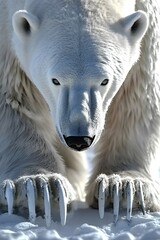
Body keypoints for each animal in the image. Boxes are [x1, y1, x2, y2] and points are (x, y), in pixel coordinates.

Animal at [0, 0, 159, 225]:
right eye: (55, 80)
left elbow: (137, 94)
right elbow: (12, 97)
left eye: (105, 80)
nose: (79, 139)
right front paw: (40, 187)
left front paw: (124, 187)